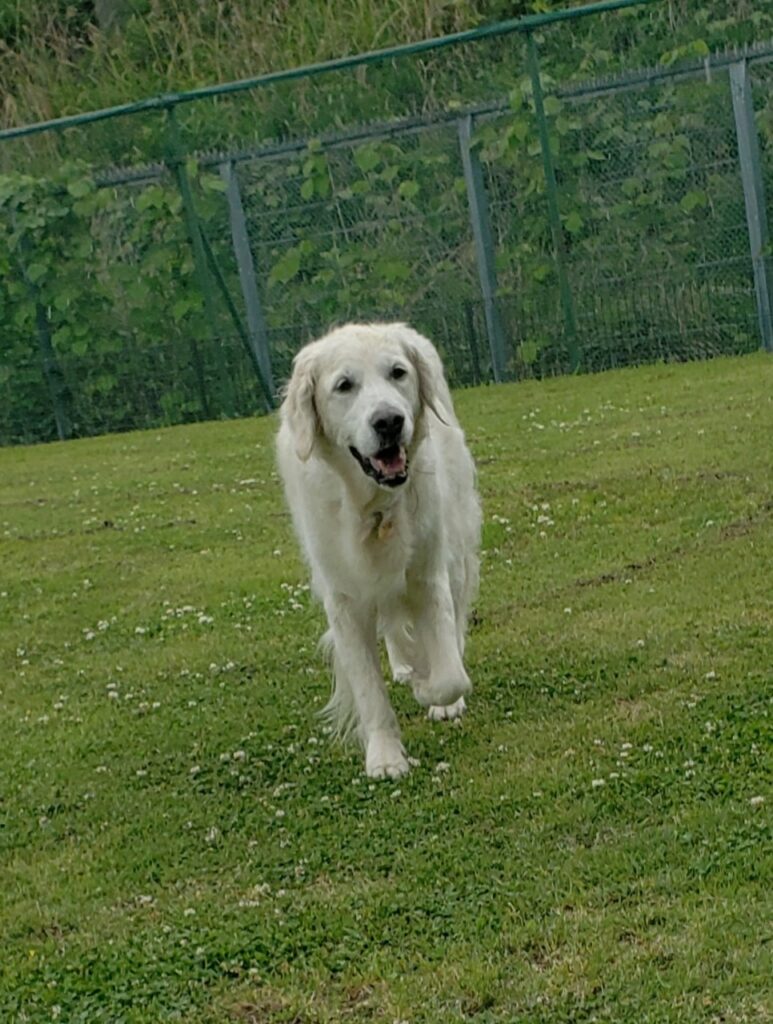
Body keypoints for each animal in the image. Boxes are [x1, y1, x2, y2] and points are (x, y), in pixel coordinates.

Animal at [276, 322, 481, 779]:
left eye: (398, 373)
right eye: (344, 385)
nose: (389, 421)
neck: (374, 508)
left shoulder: (428, 576)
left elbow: (449, 674)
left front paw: (430, 688)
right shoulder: (344, 600)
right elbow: (370, 691)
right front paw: (386, 756)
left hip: (457, 552)